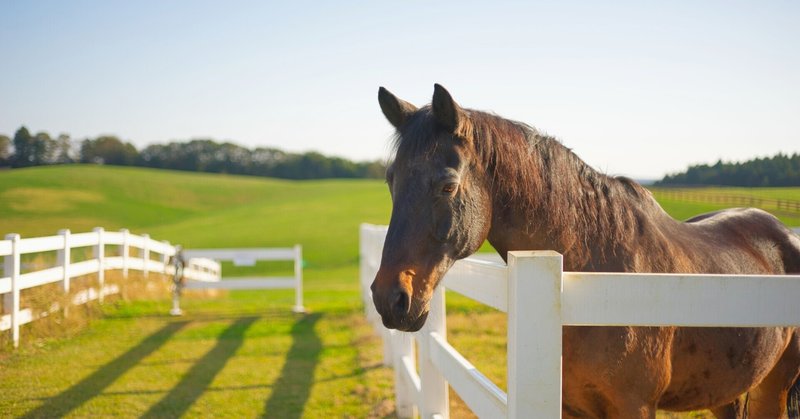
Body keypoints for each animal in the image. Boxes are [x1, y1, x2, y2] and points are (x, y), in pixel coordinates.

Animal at [372, 83, 800, 418]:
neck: (594, 273)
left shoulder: (634, 406)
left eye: (447, 185)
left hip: (775, 386)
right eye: (391, 181)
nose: (389, 298)